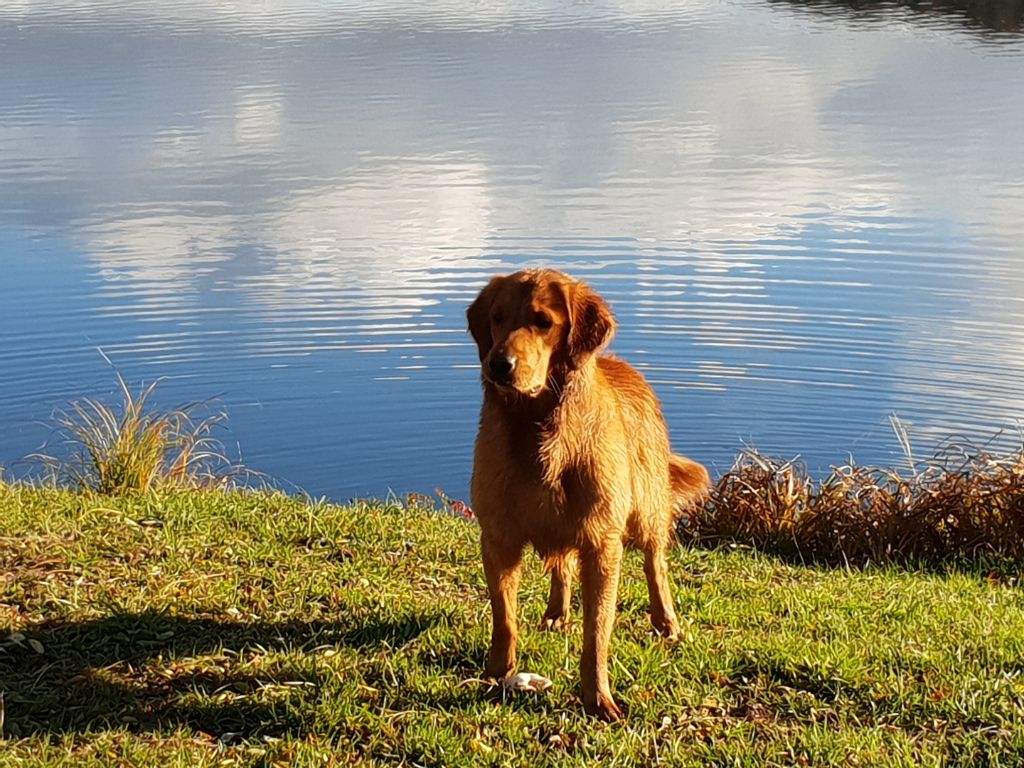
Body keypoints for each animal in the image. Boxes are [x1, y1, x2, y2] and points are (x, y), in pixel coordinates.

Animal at [467, 268, 710, 720]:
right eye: (497, 317)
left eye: (543, 321)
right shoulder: (498, 537)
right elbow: (504, 616)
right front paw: (496, 674)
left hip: (646, 509)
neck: (538, 429)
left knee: (655, 564)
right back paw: (555, 613)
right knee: (561, 567)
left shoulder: (602, 544)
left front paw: (597, 699)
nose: (498, 365)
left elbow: (597, 632)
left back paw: (666, 622)